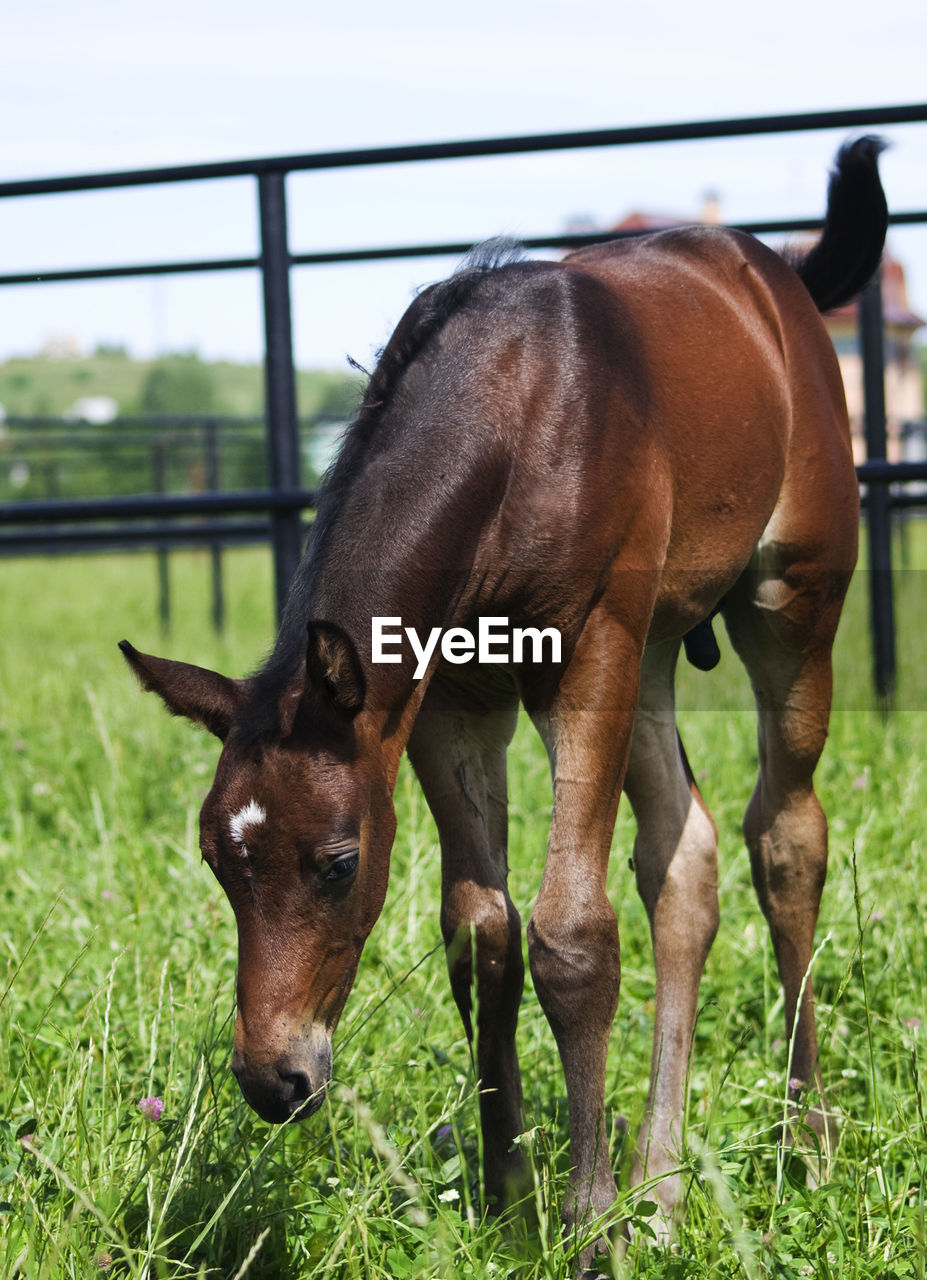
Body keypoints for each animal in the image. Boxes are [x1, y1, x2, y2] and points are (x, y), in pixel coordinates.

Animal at [120, 137, 886, 1259]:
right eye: (220, 861)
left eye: (337, 861)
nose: (273, 1078)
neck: (519, 409)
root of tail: (769, 272)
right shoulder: (447, 694)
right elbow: (479, 931)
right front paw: (513, 1198)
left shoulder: (588, 648)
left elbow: (572, 935)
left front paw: (589, 1223)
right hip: (658, 648)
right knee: (684, 859)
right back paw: (662, 1189)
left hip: (790, 600)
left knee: (784, 834)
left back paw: (805, 1138)